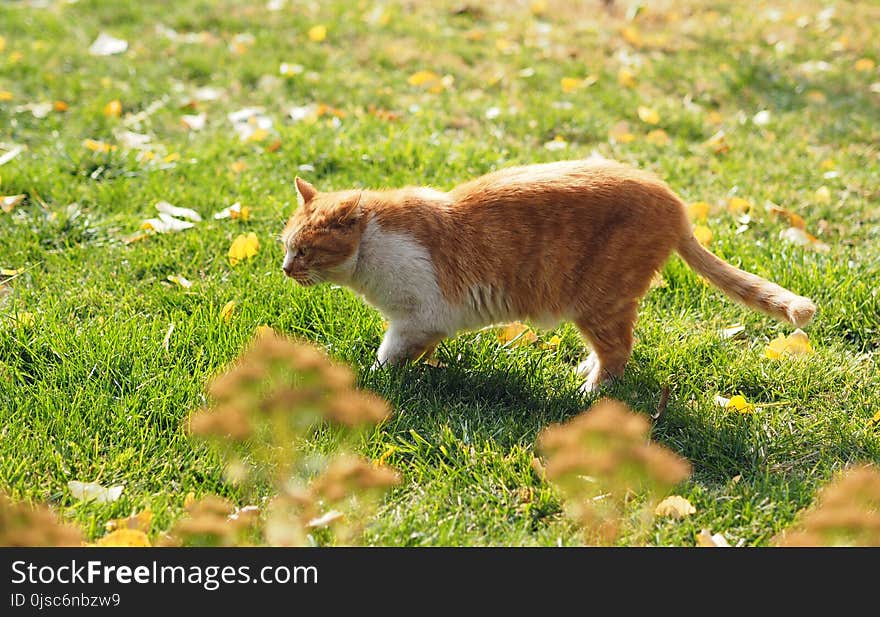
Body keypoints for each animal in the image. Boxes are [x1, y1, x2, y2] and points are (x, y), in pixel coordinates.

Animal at [278, 158, 816, 390]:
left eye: (304, 251)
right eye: (286, 247)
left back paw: (589, 391)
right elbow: (415, 352)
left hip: (598, 302)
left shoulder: (415, 318)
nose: (284, 269)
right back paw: (583, 369)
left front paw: (373, 378)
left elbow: (386, 355)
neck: (372, 249)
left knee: (618, 352)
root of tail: (674, 200)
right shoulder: (424, 325)